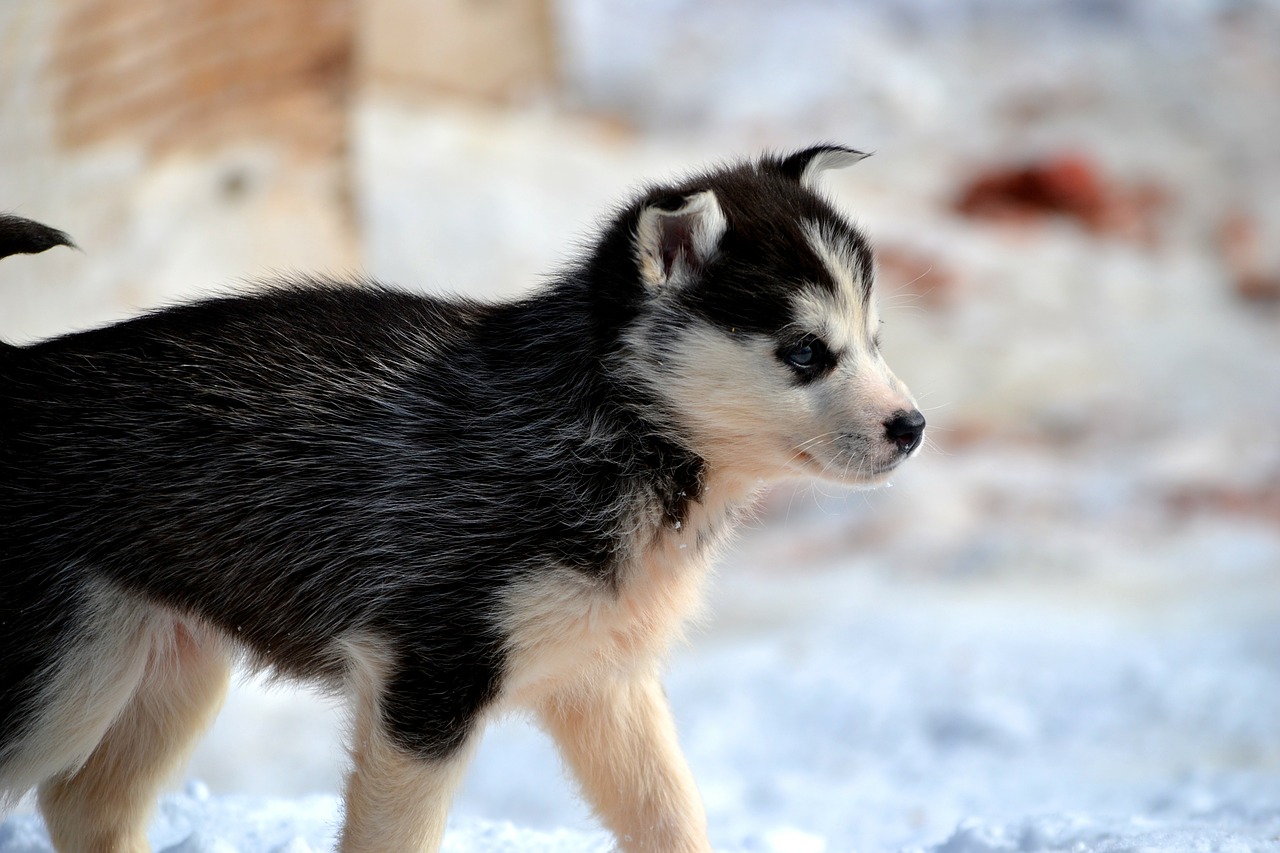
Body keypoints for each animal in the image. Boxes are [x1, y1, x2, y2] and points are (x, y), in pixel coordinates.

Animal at [0, 146, 921, 850]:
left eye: (876, 339)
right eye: (804, 351)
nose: (912, 426)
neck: (613, 427)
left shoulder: (604, 680)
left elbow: (671, 815)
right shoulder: (428, 676)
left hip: (163, 666)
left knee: (86, 804)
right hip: (65, 676)